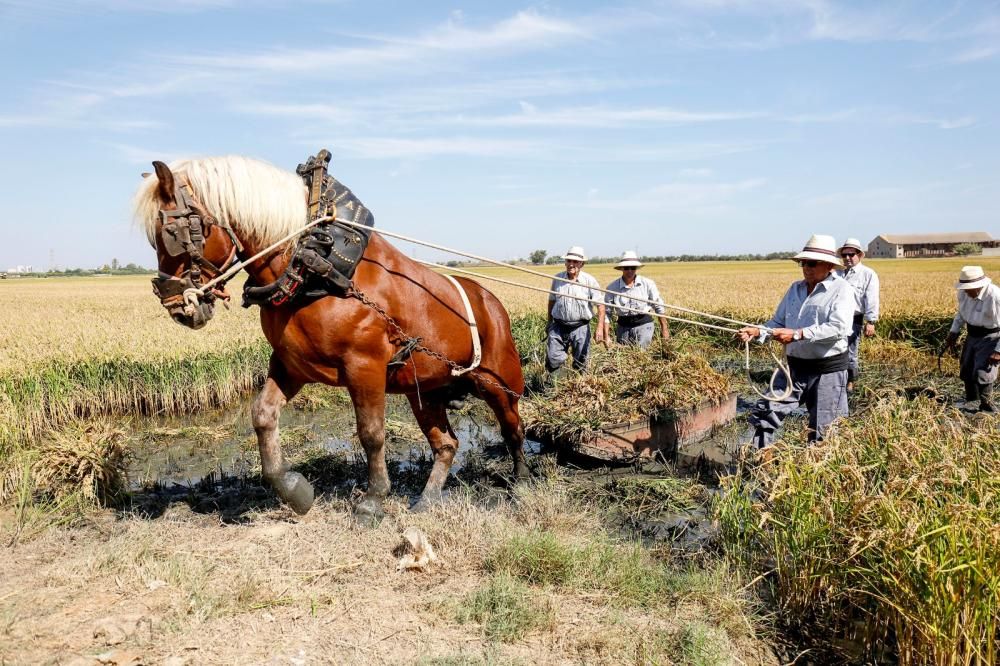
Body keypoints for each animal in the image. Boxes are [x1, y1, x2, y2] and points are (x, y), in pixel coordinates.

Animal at [137, 154, 536, 520]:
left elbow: (371, 433)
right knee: (447, 444)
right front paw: (295, 491)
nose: (176, 306)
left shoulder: (365, 366)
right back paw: (427, 499)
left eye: (170, 233)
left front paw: (373, 499)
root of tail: (491, 300)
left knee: (513, 429)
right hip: (424, 391)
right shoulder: (290, 364)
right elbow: (263, 415)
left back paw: (521, 483)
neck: (317, 267)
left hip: (500, 382)